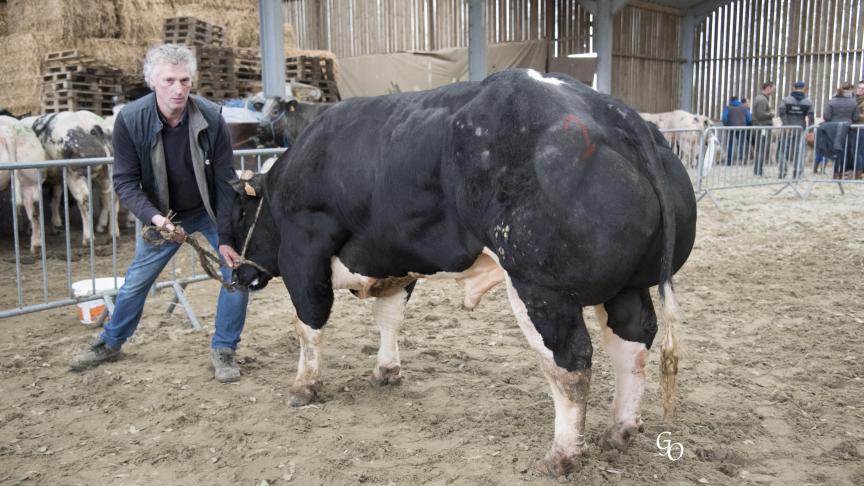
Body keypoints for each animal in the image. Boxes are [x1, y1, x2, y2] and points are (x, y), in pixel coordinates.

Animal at [31, 112, 118, 245]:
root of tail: (94, 127)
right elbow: (55, 198)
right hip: (109, 172)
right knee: (112, 197)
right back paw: (113, 234)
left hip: (75, 173)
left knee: (84, 199)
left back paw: (88, 238)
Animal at [228, 68, 696, 474]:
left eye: (237, 212)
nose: (236, 274)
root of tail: (615, 113)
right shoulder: (394, 257)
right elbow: (389, 318)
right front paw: (386, 371)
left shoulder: (303, 251)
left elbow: (307, 326)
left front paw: (304, 387)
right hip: (627, 288)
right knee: (632, 342)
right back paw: (620, 430)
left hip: (541, 290)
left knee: (570, 363)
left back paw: (562, 455)